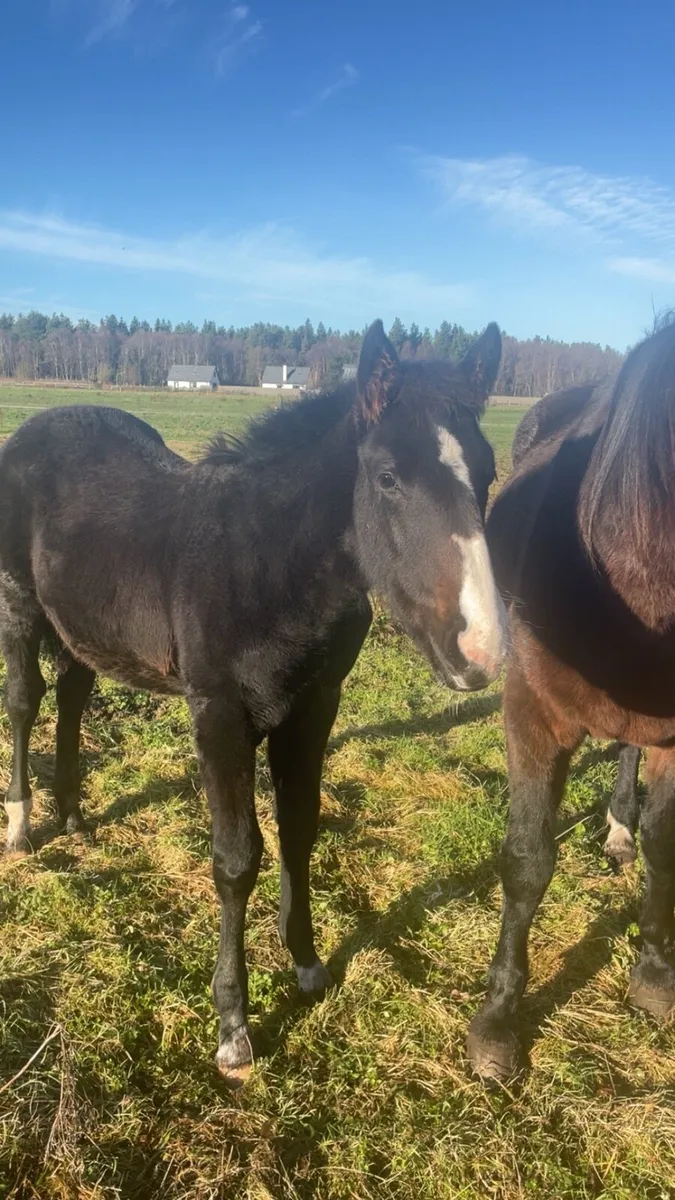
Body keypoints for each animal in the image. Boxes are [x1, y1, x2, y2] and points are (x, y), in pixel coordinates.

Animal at [0, 318, 506, 1083]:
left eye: (489, 473)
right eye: (388, 478)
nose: (479, 650)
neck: (269, 564)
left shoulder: (313, 710)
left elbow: (299, 830)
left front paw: (308, 965)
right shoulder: (219, 715)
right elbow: (237, 860)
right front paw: (234, 1029)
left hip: (84, 626)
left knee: (75, 692)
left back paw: (75, 817)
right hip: (22, 608)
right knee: (26, 701)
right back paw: (24, 824)